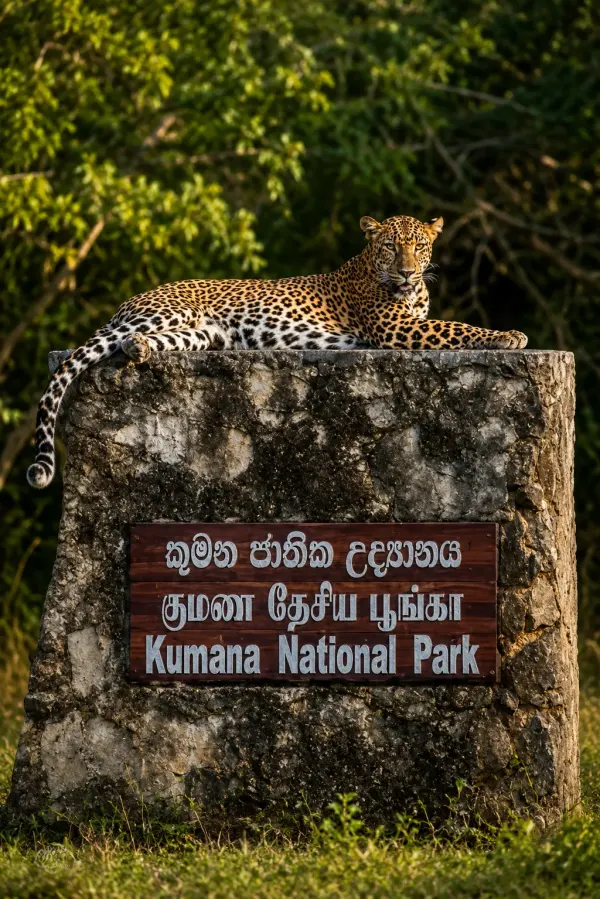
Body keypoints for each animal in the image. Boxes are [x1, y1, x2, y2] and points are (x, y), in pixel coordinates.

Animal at [27, 213, 527, 489]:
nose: (407, 271)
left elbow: (450, 324)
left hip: (199, 335)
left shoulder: (410, 322)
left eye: (419, 246)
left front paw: (508, 335)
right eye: (390, 246)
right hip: (167, 313)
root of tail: (130, 302)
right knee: (96, 347)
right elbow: (456, 327)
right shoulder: (398, 329)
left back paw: (141, 351)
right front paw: (509, 336)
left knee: (135, 345)